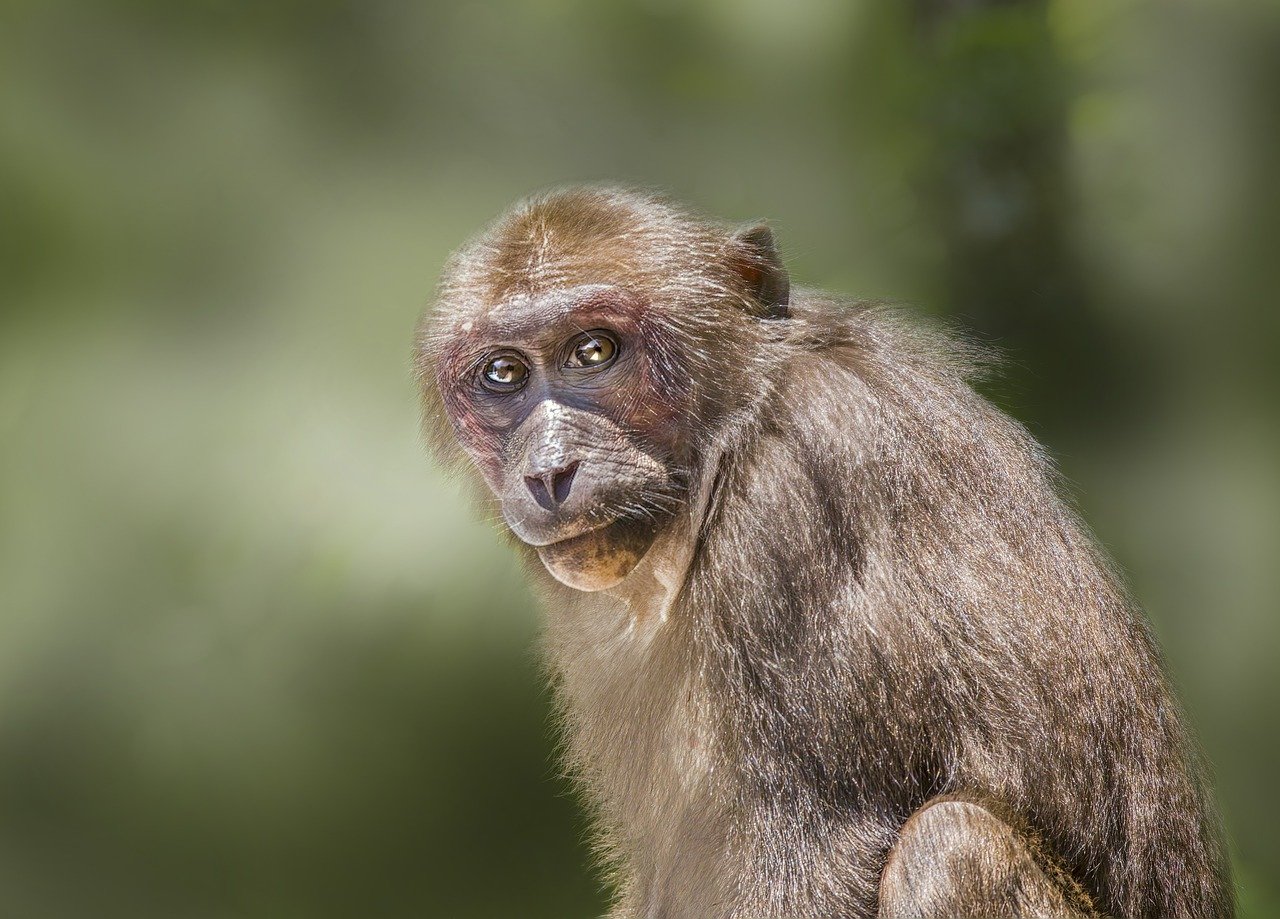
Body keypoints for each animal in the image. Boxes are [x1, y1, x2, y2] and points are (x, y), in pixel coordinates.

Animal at [413, 186, 1234, 919]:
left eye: (593, 351)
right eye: (503, 374)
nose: (550, 469)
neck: (728, 439)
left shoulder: (794, 502)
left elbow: (811, 858)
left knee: (949, 848)